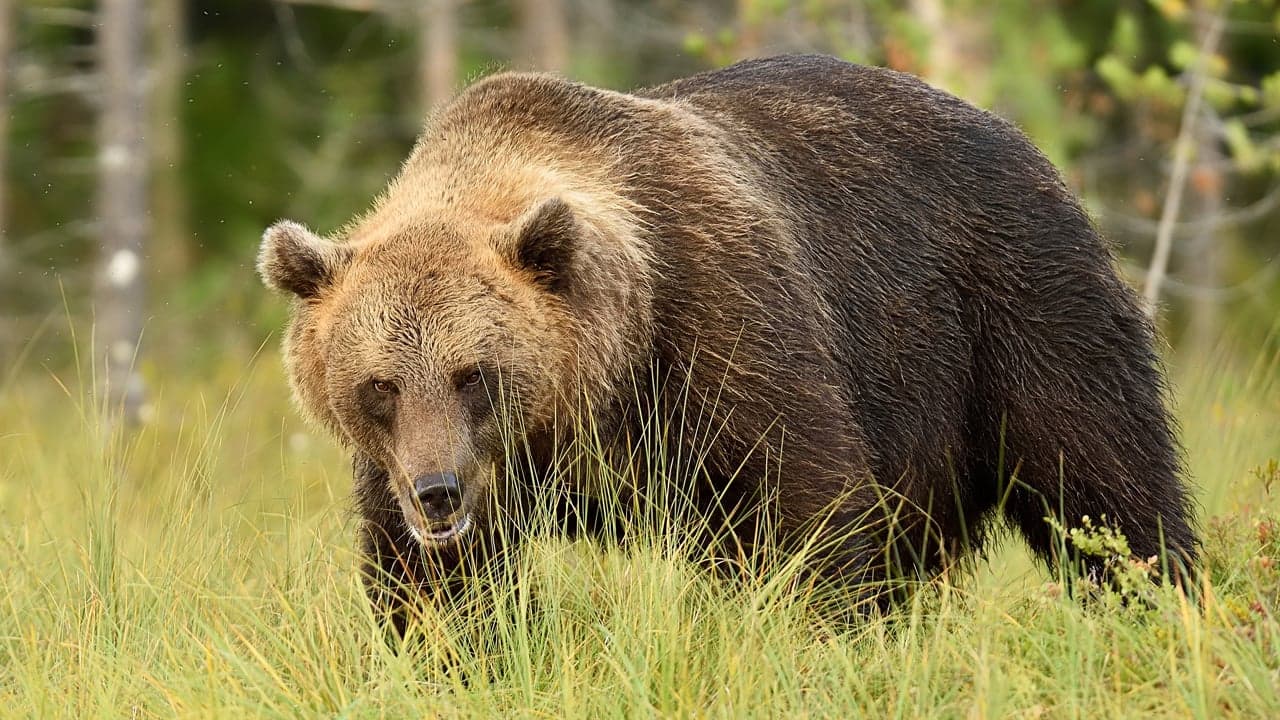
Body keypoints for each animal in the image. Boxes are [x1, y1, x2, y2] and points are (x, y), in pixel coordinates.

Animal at [258, 54, 1197, 629]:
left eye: (473, 375)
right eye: (378, 385)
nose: (439, 493)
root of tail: (1017, 135)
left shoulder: (719, 318)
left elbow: (800, 508)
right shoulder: (420, 469)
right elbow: (436, 591)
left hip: (1009, 302)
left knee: (1100, 476)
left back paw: (1155, 606)